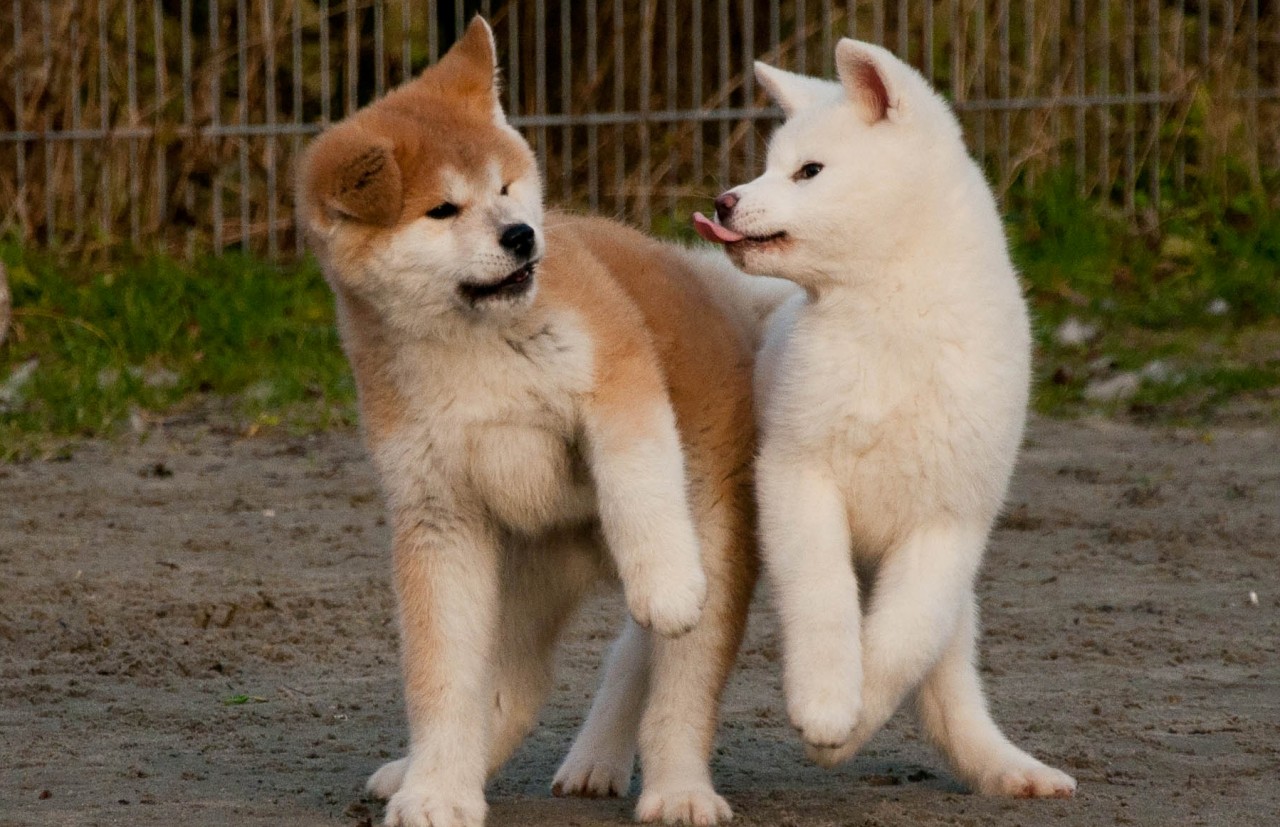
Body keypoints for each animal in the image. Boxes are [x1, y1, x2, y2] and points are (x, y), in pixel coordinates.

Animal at [696, 40, 1075, 803]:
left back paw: (1010, 769)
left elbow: (900, 642)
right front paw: (824, 703)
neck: (889, 318)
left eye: (809, 171)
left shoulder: (951, 522)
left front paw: (843, 731)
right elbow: (825, 600)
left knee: (947, 676)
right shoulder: (798, 477)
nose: (725, 200)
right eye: (771, 163)